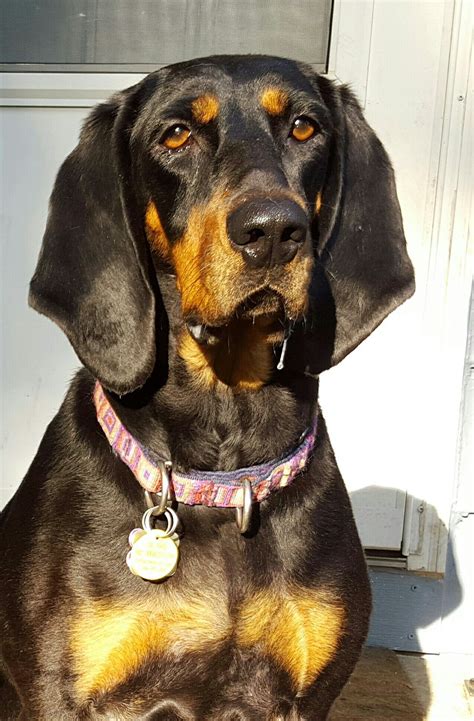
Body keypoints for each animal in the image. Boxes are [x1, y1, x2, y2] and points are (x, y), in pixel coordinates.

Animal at [0, 57, 412, 720]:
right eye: (175, 135)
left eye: (305, 127)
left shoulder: (306, 697)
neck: (223, 481)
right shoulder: (60, 695)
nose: (272, 230)